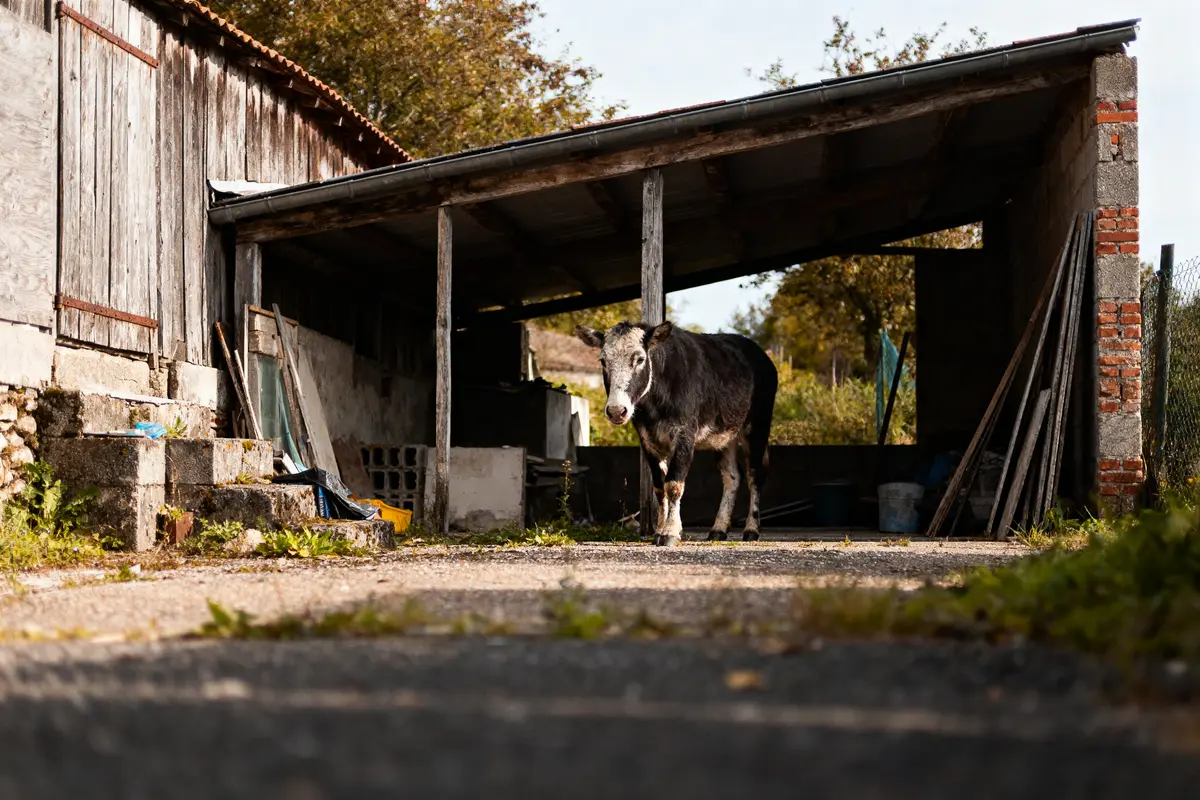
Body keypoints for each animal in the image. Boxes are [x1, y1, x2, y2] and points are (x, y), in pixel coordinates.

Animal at [575, 320, 778, 546]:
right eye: (603, 360)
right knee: (732, 476)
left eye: (640, 359)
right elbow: (659, 487)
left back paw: (751, 530)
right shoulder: (648, 440)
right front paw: (659, 531)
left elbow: (673, 484)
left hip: (758, 427)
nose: (617, 410)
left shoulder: (684, 435)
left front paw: (670, 532)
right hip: (725, 435)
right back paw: (718, 529)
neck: (654, 407)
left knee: (754, 476)